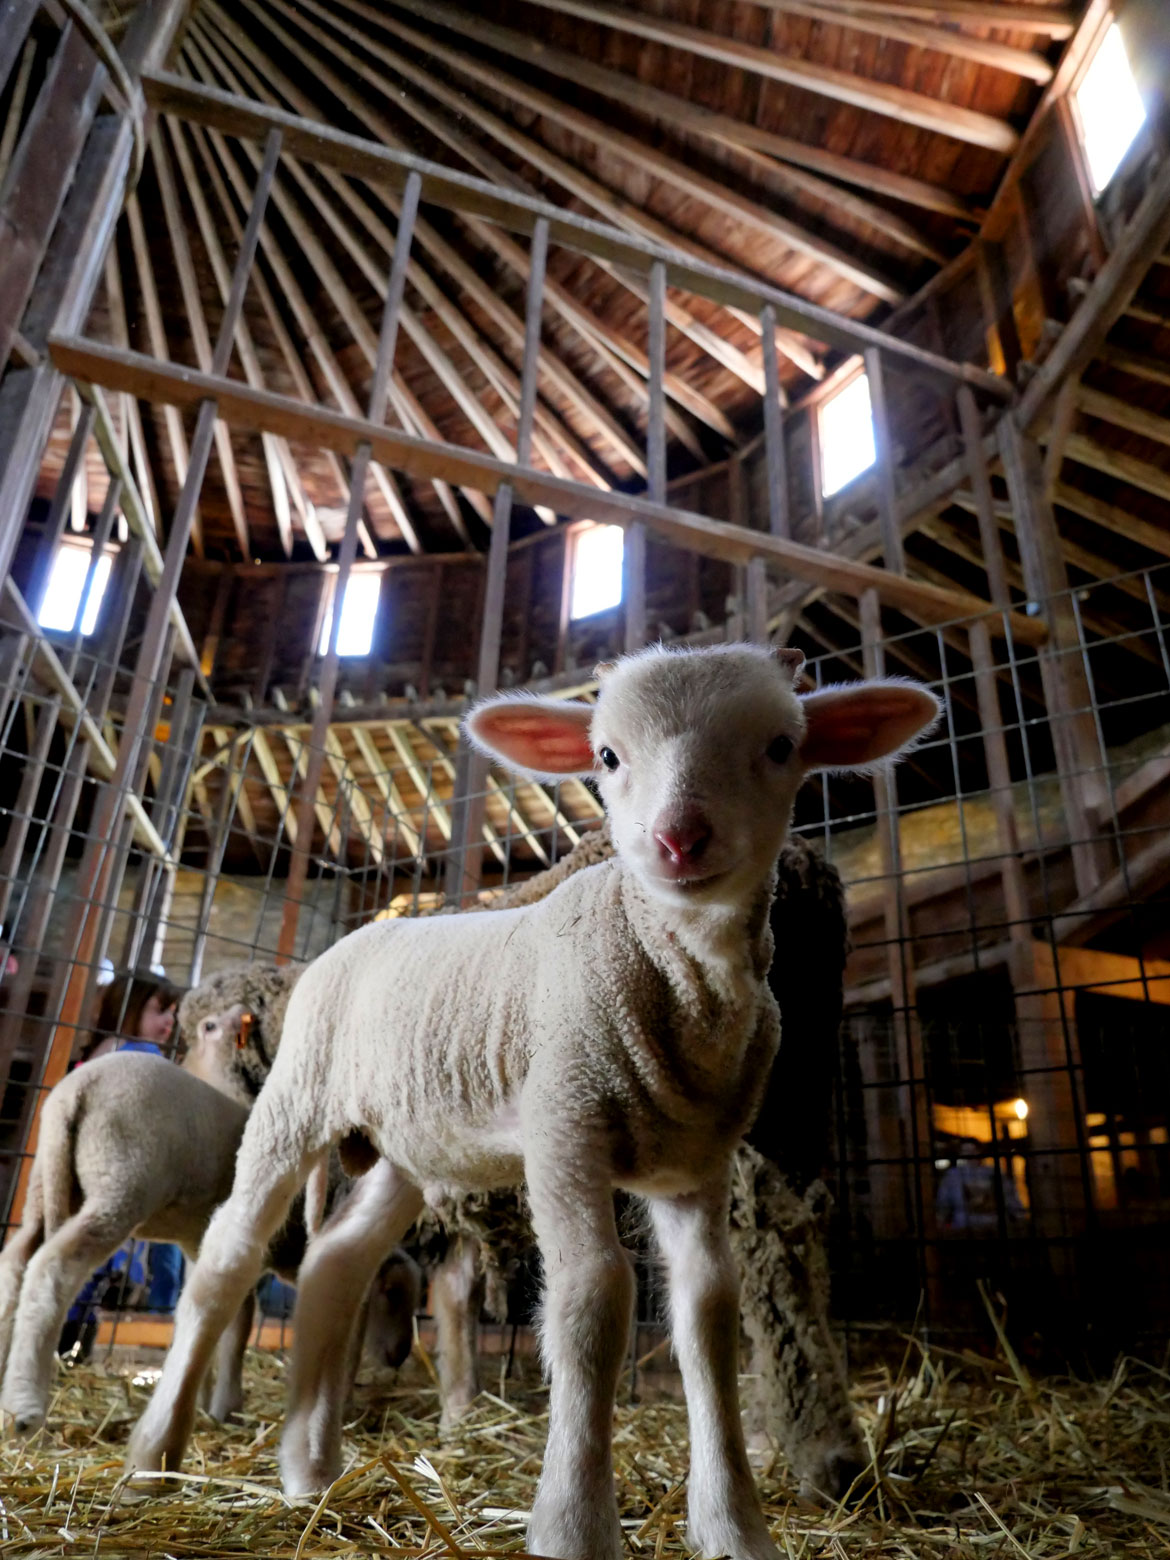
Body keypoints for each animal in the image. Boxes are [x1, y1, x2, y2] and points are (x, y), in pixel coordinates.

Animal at [0, 966, 420, 1434]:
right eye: (393, 1295)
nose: (400, 1355)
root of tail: (77, 1089)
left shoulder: (203, 1250)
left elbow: (208, 1319)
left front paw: (201, 1400)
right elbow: (240, 1328)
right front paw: (230, 1404)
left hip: (46, 1185)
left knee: (16, 1260)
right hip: (121, 1186)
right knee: (53, 1266)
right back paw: (25, 1408)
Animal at [125, 643, 938, 1560]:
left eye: (779, 746)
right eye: (607, 756)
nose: (678, 838)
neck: (668, 963)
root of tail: (366, 928)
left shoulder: (698, 1162)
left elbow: (708, 1313)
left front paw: (735, 1527)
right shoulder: (564, 1124)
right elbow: (591, 1298)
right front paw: (573, 1525)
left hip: (408, 1146)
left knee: (337, 1262)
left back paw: (308, 1473)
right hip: (297, 1099)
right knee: (227, 1258)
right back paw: (155, 1455)